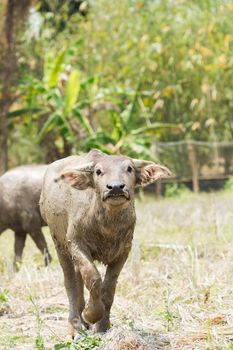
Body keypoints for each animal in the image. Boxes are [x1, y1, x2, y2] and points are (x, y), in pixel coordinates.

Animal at [39, 149, 171, 338]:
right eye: (98, 171)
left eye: (129, 168)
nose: (115, 187)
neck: (106, 226)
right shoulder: (76, 244)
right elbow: (94, 278)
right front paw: (91, 314)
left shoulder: (123, 252)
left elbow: (108, 288)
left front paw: (102, 326)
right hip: (60, 245)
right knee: (70, 282)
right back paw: (75, 325)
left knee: (79, 279)